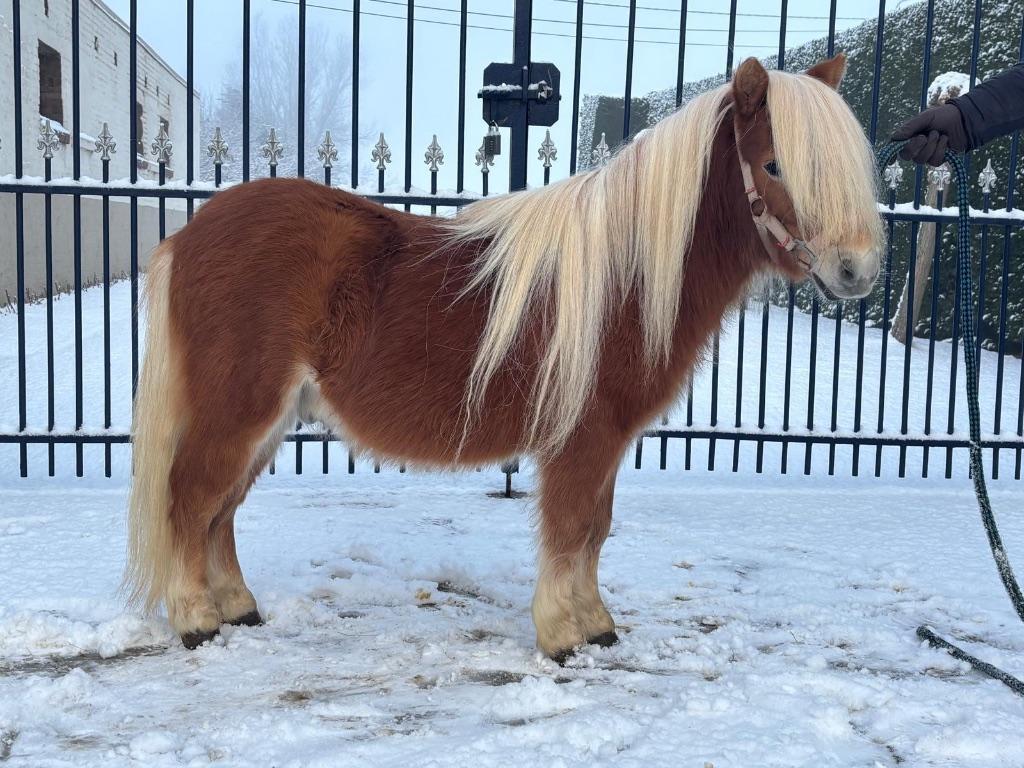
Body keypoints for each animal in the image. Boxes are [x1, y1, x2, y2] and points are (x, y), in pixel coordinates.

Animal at [124, 55, 884, 660]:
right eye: (774, 165)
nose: (857, 272)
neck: (625, 275)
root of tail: (186, 236)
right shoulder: (583, 439)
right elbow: (572, 530)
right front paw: (563, 636)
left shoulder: (607, 442)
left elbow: (596, 530)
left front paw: (597, 625)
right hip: (240, 410)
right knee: (191, 499)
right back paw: (196, 620)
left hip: (271, 420)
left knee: (219, 510)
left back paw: (237, 608)